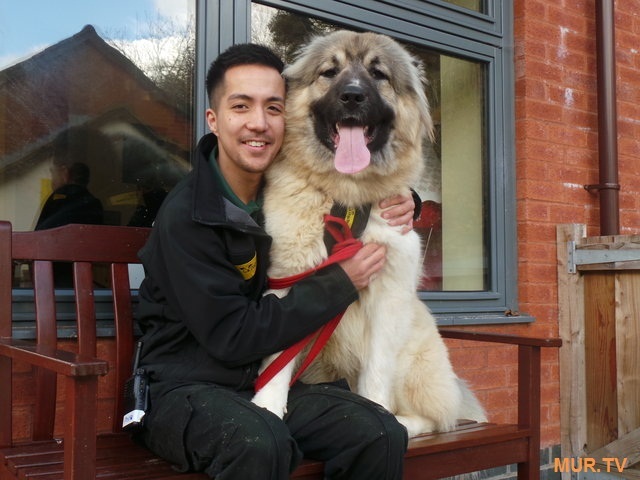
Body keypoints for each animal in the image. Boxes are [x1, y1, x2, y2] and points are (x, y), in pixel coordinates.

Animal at [251, 29, 484, 436]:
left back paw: (404, 424)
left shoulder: (387, 300)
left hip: (413, 357)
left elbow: (375, 375)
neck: (347, 200)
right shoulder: (287, 280)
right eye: (330, 72)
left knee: (435, 418)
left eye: (379, 75)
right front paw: (266, 405)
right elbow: (277, 358)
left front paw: (379, 415)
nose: (352, 96)